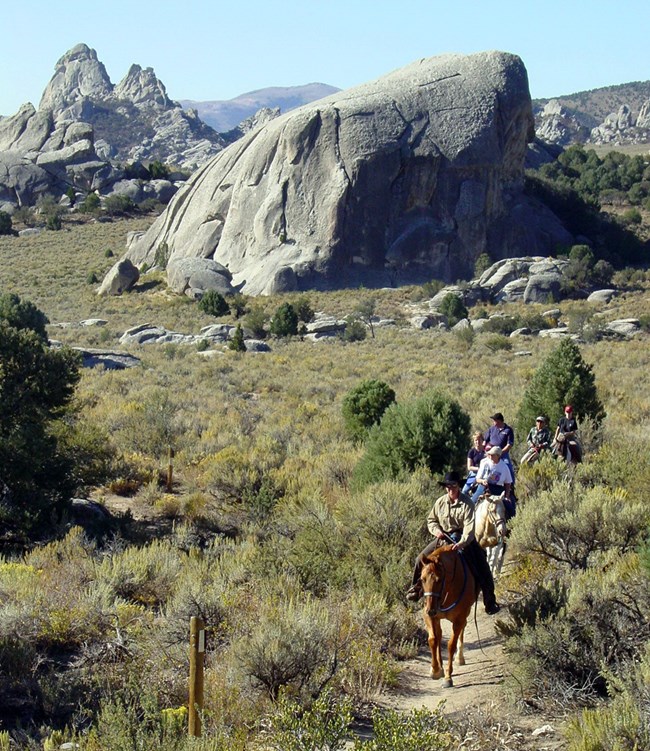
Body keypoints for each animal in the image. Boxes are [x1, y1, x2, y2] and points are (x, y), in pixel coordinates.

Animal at [420, 548, 476, 688]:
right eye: (422, 579)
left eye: (439, 580)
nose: (431, 609)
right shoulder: (429, 616)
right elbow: (433, 639)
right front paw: (435, 670)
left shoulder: (459, 618)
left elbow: (451, 645)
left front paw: (448, 677)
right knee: (439, 635)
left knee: (462, 630)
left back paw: (459, 658)